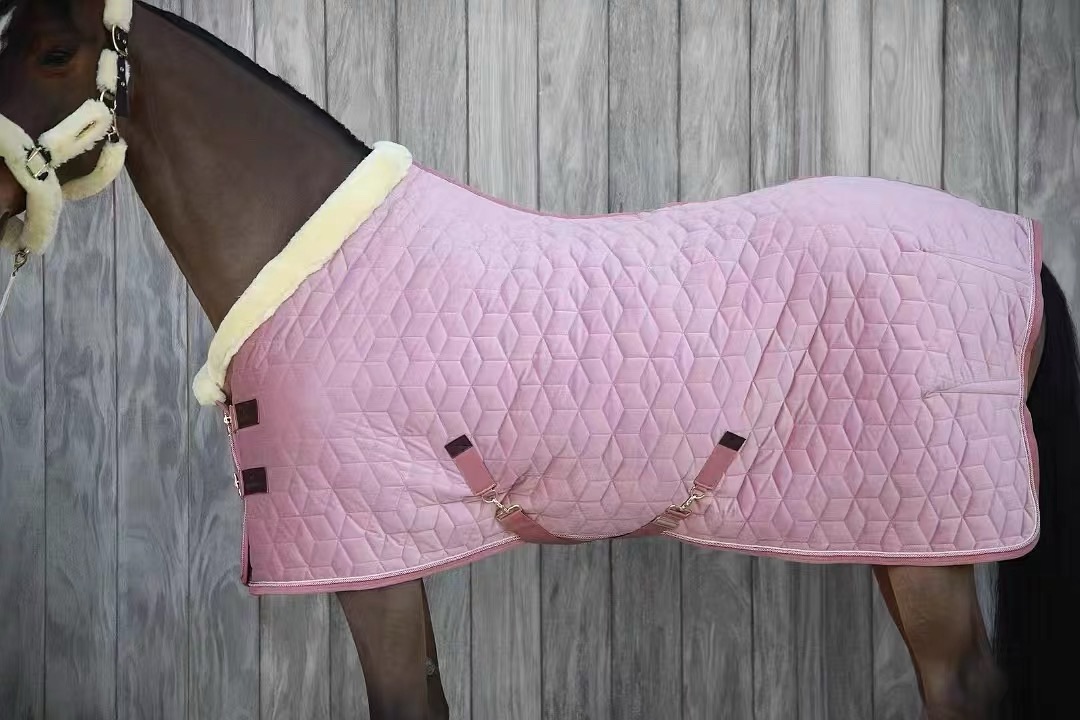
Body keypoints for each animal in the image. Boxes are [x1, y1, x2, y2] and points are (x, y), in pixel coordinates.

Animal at [1, 2, 1077, 719]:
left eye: (55, 51)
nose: (0, 200)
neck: (313, 260)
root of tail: (1011, 243)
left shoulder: (370, 565)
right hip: (902, 542)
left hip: (931, 554)